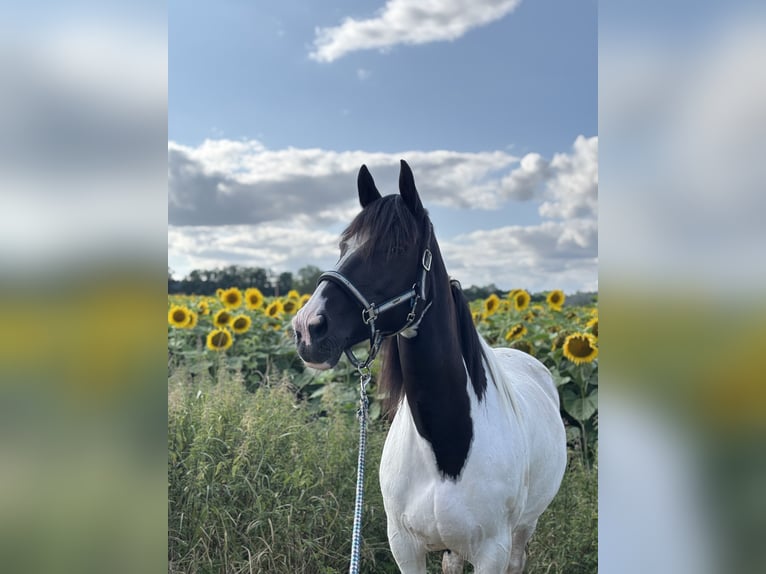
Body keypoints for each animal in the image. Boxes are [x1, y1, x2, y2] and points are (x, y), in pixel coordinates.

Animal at [292, 161, 567, 574]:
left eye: (396, 247)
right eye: (343, 246)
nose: (308, 327)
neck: (446, 451)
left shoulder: (493, 552)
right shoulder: (404, 546)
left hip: (524, 528)